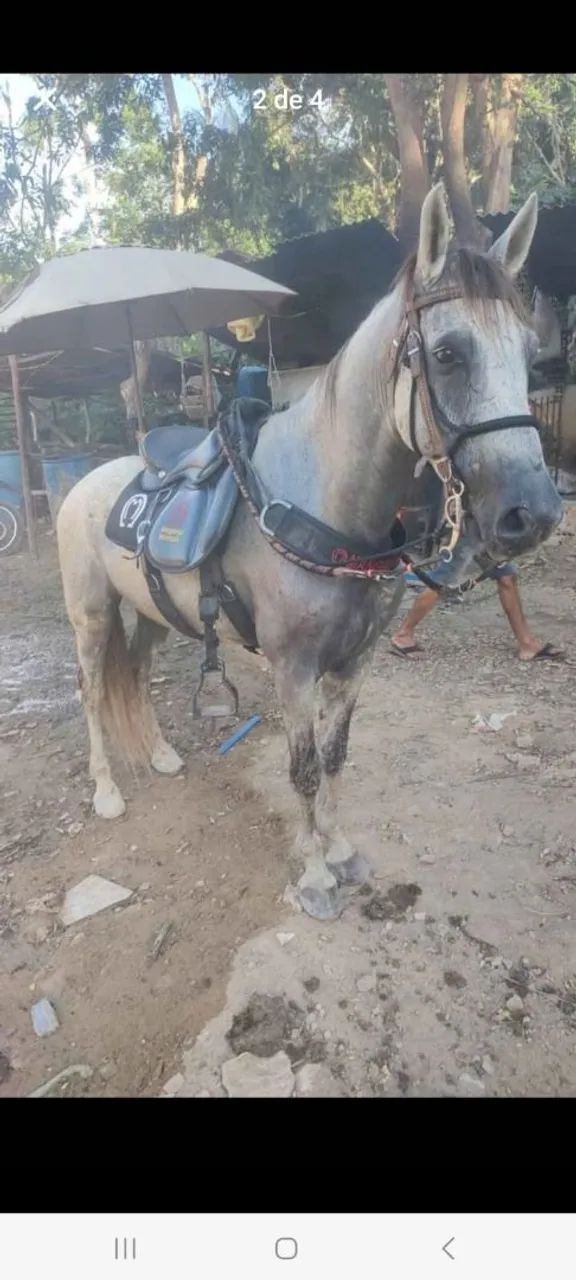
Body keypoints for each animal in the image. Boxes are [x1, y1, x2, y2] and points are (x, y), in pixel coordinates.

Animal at [56, 185, 562, 921]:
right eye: (447, 354)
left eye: (529, 352)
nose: (534, 513)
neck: (325, 505)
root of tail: (84, 484)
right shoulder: (292, 668)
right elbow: (301, 767)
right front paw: (317, 876)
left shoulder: (355, 662)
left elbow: (336, 755)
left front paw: (341, 850)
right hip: (92, 616)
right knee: (93, 693)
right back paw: (106, 792)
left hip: (149, 614)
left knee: (139, 678)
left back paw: (161, 757)